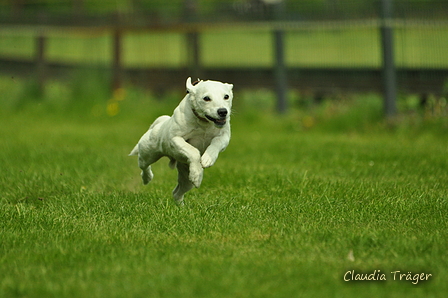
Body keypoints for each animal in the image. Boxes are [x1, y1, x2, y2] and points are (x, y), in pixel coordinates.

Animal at [130, 77, 233, 205]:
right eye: (206, 98)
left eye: (226, 96)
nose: (223, 111)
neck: (204, 123)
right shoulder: (175, 138)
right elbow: (193, 151)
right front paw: (197, 173)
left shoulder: (224, 136)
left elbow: (216, 142)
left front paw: (207, 159)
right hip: (148, 153)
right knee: (143, 164)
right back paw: (147, 177)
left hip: (186, 178)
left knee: (177, 192)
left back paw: (181, 206)